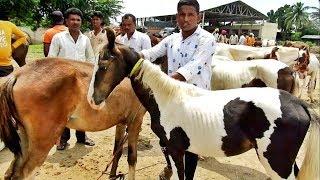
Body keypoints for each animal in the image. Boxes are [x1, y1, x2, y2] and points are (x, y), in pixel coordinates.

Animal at [0, 58, 145, 179]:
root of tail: (18, 74)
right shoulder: (135, 122)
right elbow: (132, 158)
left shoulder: (121, 123)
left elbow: (117, 152)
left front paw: (112, 175)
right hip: (43, 142)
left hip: (24, 139)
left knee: (11, 172)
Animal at [87, 28, 320, 180]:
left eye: (104, 64)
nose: (92, 99)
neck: (167, 99)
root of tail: (299, 104)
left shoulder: (175, 149)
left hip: (276, 164)